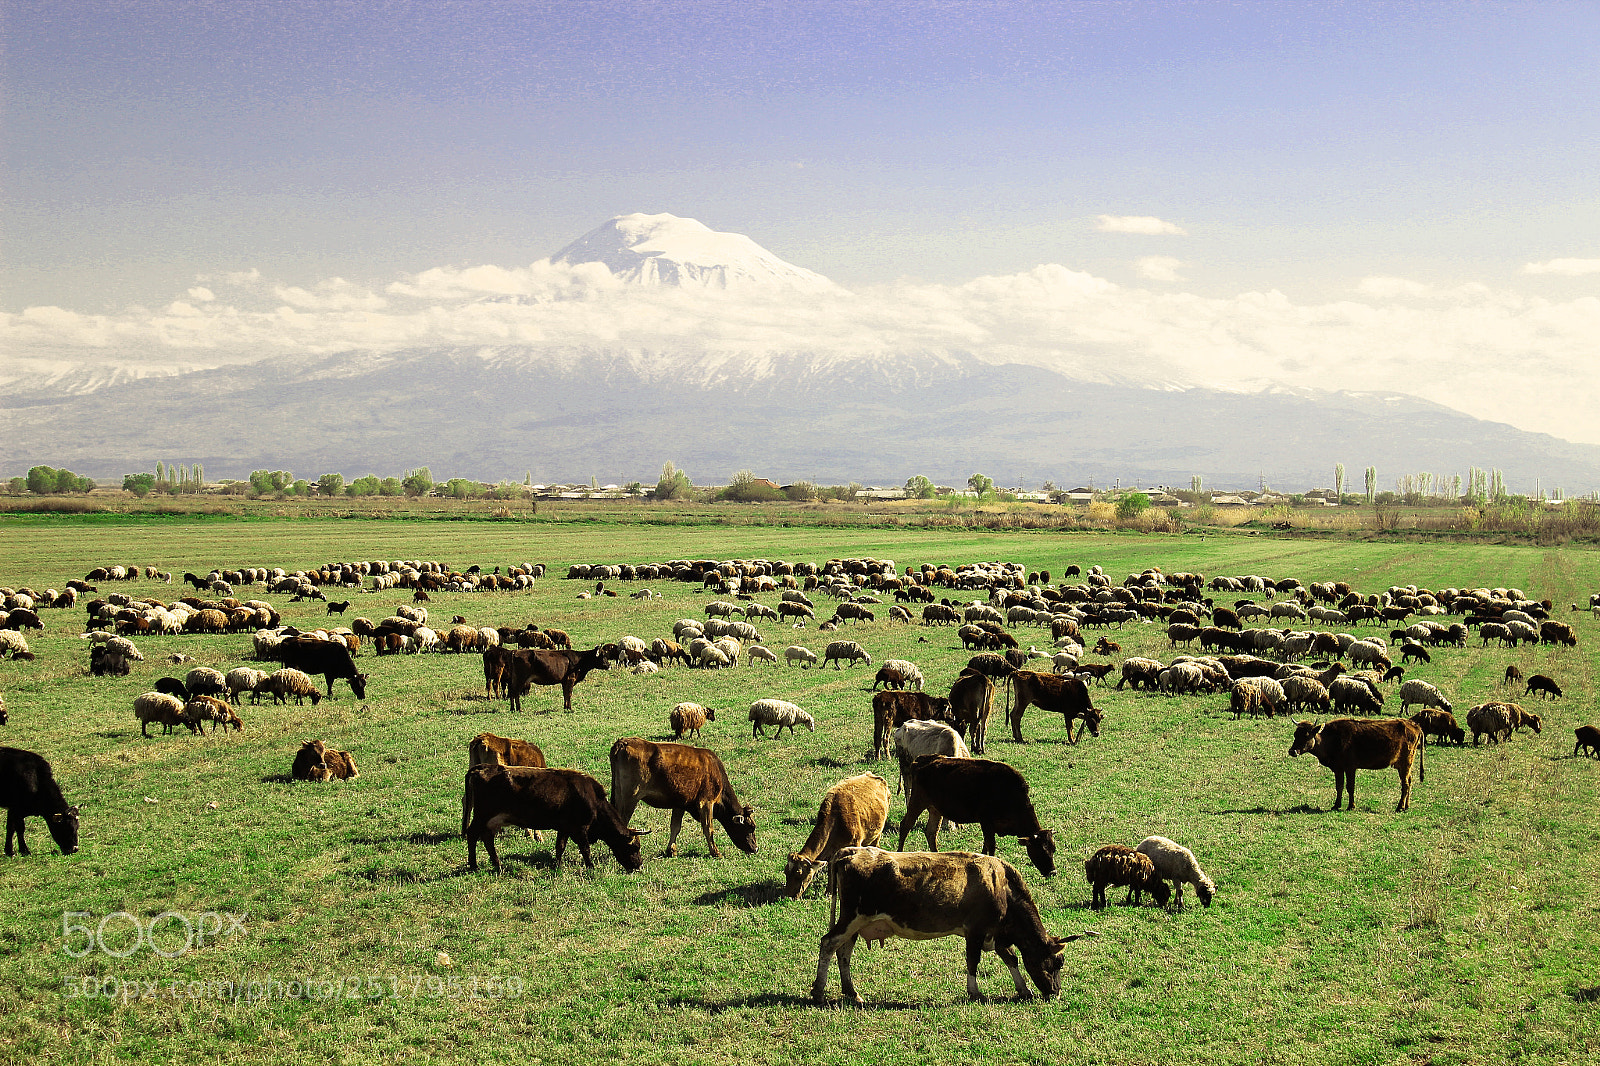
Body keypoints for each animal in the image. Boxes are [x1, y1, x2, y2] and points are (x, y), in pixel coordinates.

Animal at [462, 764, 647, 872]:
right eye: (634, 847)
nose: (638, 865)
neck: (594, 800)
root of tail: (481, 769)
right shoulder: (580, 829)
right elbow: (585, 849)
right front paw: (591, 867)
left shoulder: (564, 828)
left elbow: (560, 847)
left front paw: (558, 865)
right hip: (482, 815)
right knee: (472, 835)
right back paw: (474, 865)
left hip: (491, 820)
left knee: (487, 839)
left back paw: (497, 864)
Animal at [608, 738, 757, 858]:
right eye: (751, 827)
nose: (755, 848)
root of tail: (623, 742)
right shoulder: (706, 802)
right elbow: (708, 828)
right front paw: (715, 852)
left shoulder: (680, 804)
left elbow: (675, 827)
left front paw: (671, 850)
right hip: (630, 798)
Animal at [811, 847, 1084, 1006]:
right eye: (1057, 962)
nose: (1056, 993)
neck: (1001, 885)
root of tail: (851, 852)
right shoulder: (975, 931)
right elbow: (973, 961)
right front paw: (975, 993)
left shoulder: (996, 934)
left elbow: (1011, 958)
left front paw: (1023, 990)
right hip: (853, 917)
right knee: (829, 943)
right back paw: (818, 991)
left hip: (856, 922)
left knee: (843, 951)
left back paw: (851, 992)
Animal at [897, 755, 1056, 876]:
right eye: (1040, 850)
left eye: (1053, 849)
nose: (1053, 872)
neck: (1009, 793)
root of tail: (922, 760)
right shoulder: (986, 822)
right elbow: (991, 845)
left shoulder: (988, 825)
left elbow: (986, 844)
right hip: (917, 801)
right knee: (905, 826)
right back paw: (899, 852)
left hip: (935, 810)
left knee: (931, 832)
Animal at [1288, 718, 1424, 812]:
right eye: (1295, 734)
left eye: (1306, 735)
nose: (1292, 751)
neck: (1333, 739)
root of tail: (1415, 725)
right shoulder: (1338, 769)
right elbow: (1339, 786)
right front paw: (1336, 805)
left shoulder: (1350, 768)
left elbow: (1350, 787)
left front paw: (1351, 806)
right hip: (1406, 766)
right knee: (1409, 781)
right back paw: (1406, 806)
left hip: (1405, 764)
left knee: (1405, 784)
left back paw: (1399, 807)